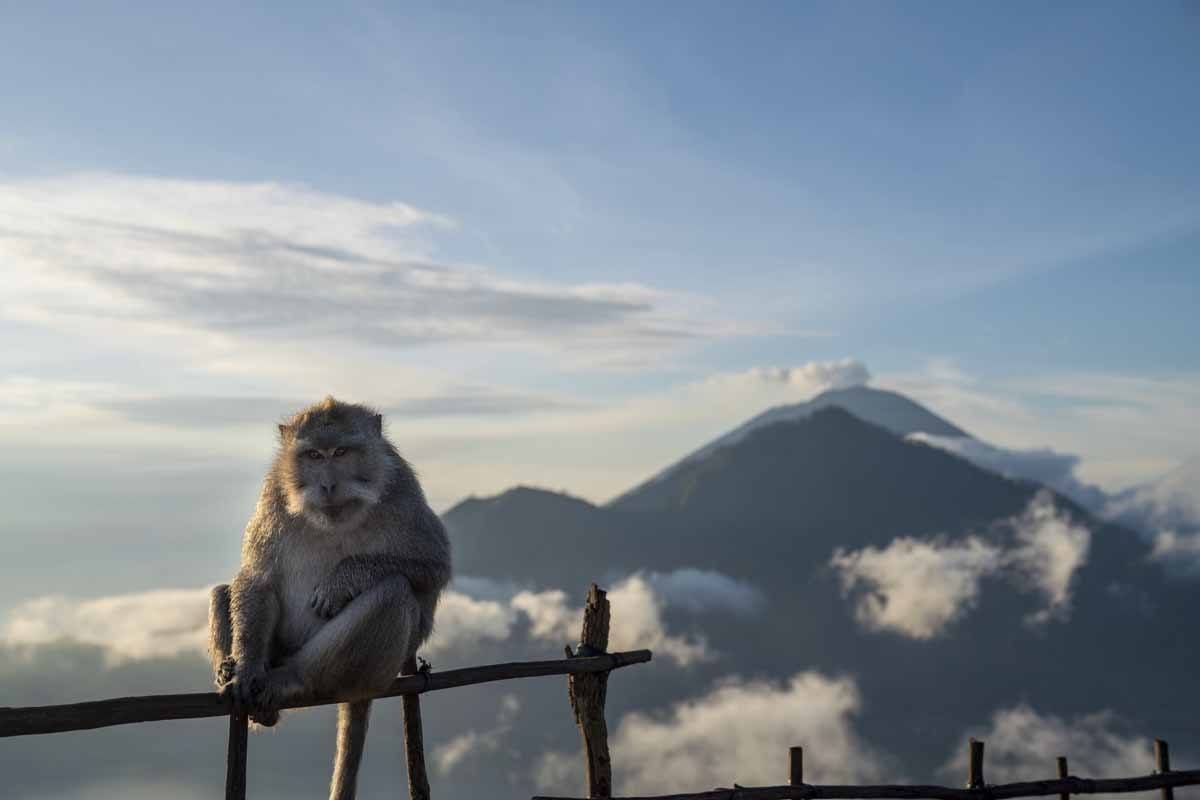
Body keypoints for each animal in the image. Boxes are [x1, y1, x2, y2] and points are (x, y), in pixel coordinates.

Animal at [206, 395, 451, 800]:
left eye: (340, 452)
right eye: (314, 456)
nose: (328, 484)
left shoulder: (402, 490)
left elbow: (433, 564)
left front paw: (342, 580)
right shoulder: (274, 493)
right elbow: (258, 579)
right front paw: (246, 669)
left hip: (373, 668)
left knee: (393, 593)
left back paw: (292, 678)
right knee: (224, 590)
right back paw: (239, 677)